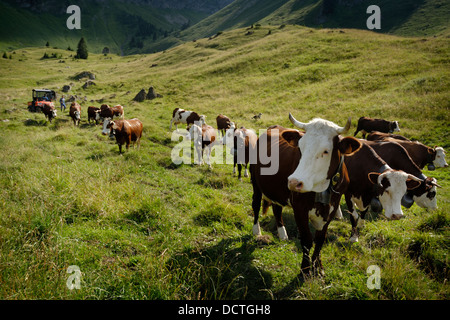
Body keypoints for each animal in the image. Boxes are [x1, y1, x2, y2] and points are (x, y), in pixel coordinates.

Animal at [250, 115, 362, 276]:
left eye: (326, 151)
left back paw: (282, 234)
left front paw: (318, 267)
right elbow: (307, 240)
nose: (294, 182)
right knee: (256, 205)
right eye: (300, 147)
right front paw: (305, 270)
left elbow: (320, 239)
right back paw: (257, 231)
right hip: (256, 183)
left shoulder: (332, 208)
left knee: (277, 208)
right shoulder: (299, 208)